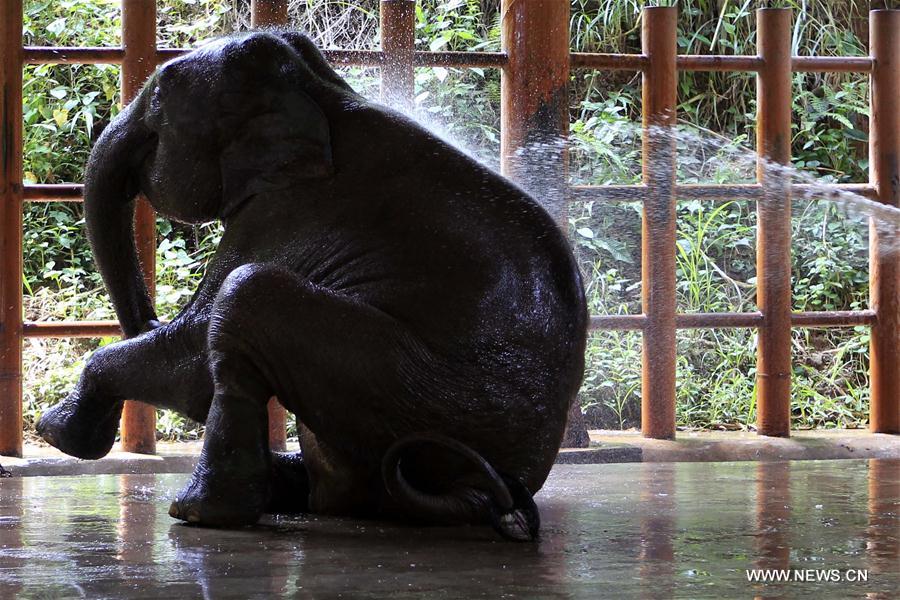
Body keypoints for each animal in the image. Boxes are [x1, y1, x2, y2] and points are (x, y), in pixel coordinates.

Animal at [35, 31, 588, 542]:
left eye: (158, 100)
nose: (147, 317)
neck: (321, 90)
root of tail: (489, 494)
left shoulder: (287, 211)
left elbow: (192, 355)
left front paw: (55, 431)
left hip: (419, 393)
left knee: (246, 297)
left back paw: (198, 513)